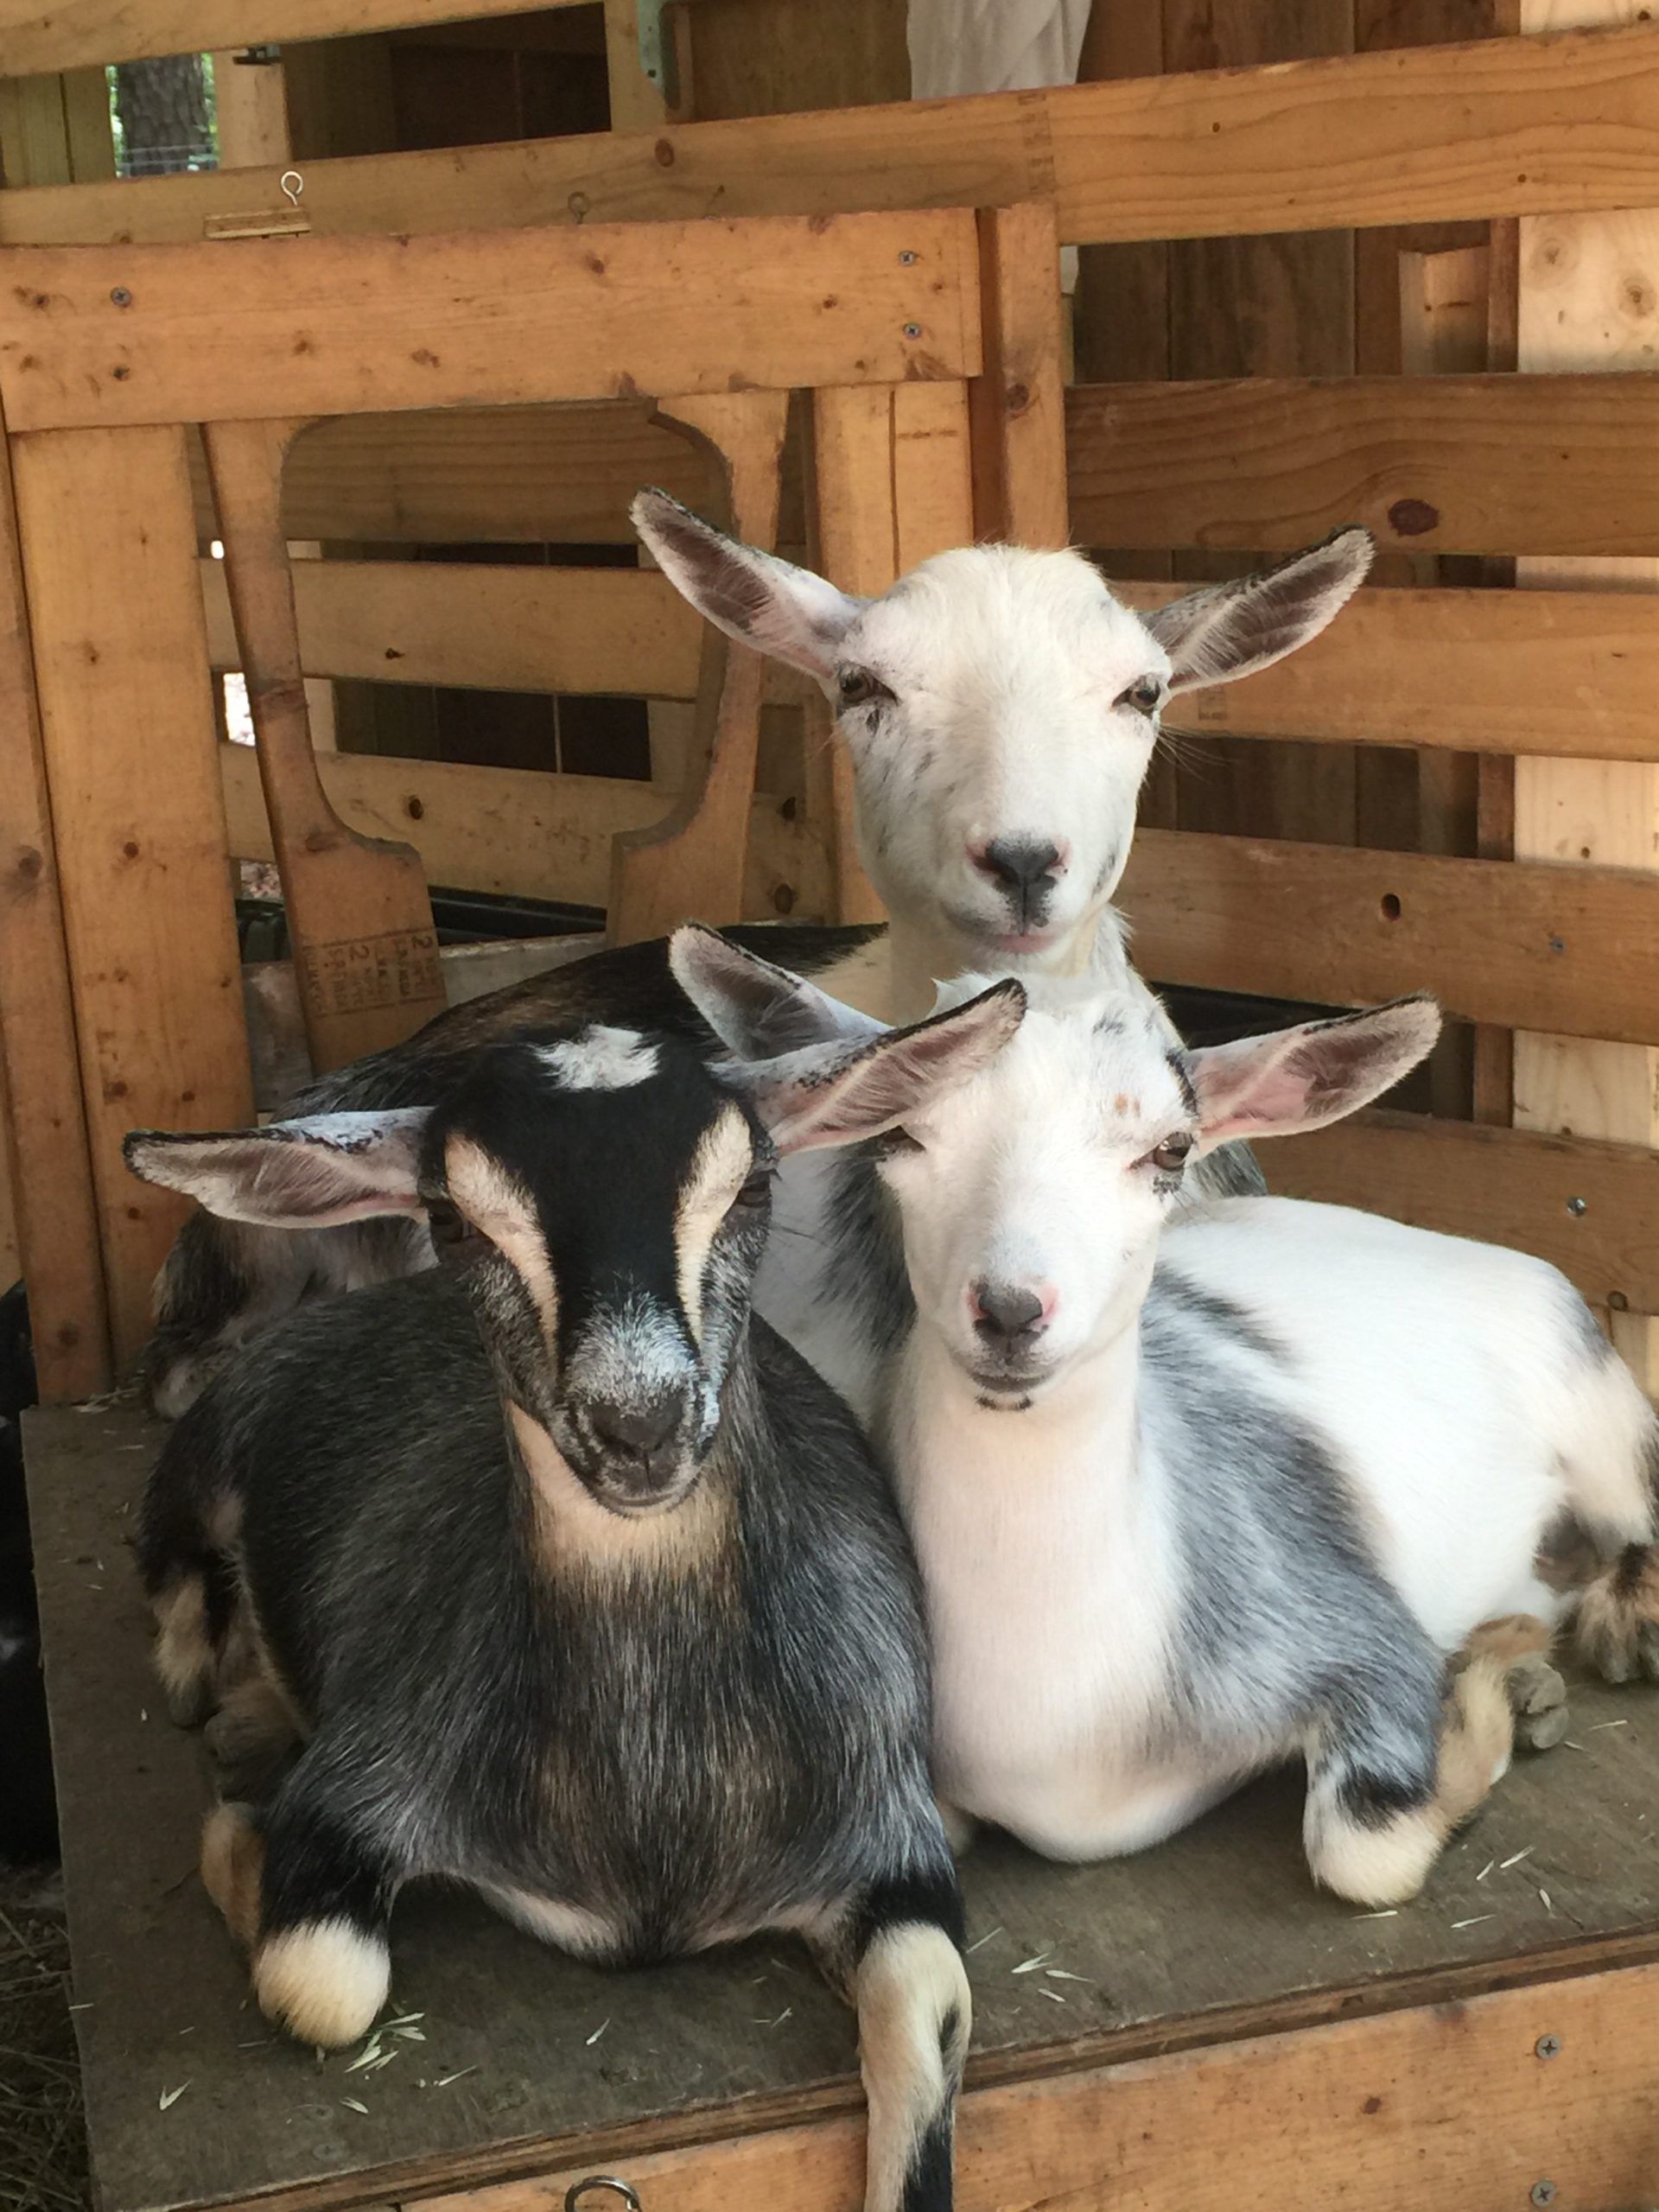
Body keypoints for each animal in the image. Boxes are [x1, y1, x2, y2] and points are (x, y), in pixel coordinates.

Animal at [124, 1008, 1029, 2212]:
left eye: (751, 1184)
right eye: (454, 1218)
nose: (638, 1422)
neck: (652, 1803)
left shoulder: (891, 1847)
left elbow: (929, 2022)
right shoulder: (364, 1777)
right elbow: (322, 1981)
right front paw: (233, 1835)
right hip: (215, 1436)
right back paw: (212, 1696)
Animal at [672, 928, 1659, 1907]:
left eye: (1171, 1149)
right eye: (901, 1133)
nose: (1010, 1310)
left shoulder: (1356, 1631)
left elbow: (1361, 1850)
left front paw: (1483, 1692)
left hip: (1592, 1399)